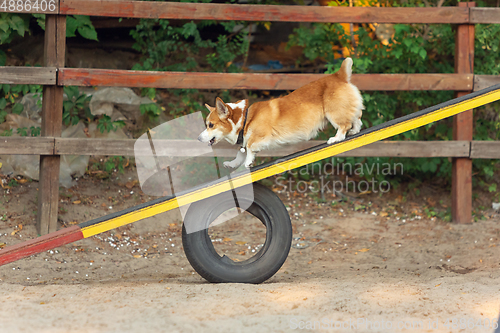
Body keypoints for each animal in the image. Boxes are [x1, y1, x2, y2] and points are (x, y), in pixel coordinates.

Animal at [197, 56, 366, 169]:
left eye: (211, 125)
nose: (198, 138)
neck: (245, 119)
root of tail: (339, 76)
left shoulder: (259, 137)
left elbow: (249, 148)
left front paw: (247, 163)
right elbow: (241, 152)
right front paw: (232, 164)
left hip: (334, 113)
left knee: (344, 125)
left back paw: (335, 138)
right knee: (357, 118)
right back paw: (355, 131)